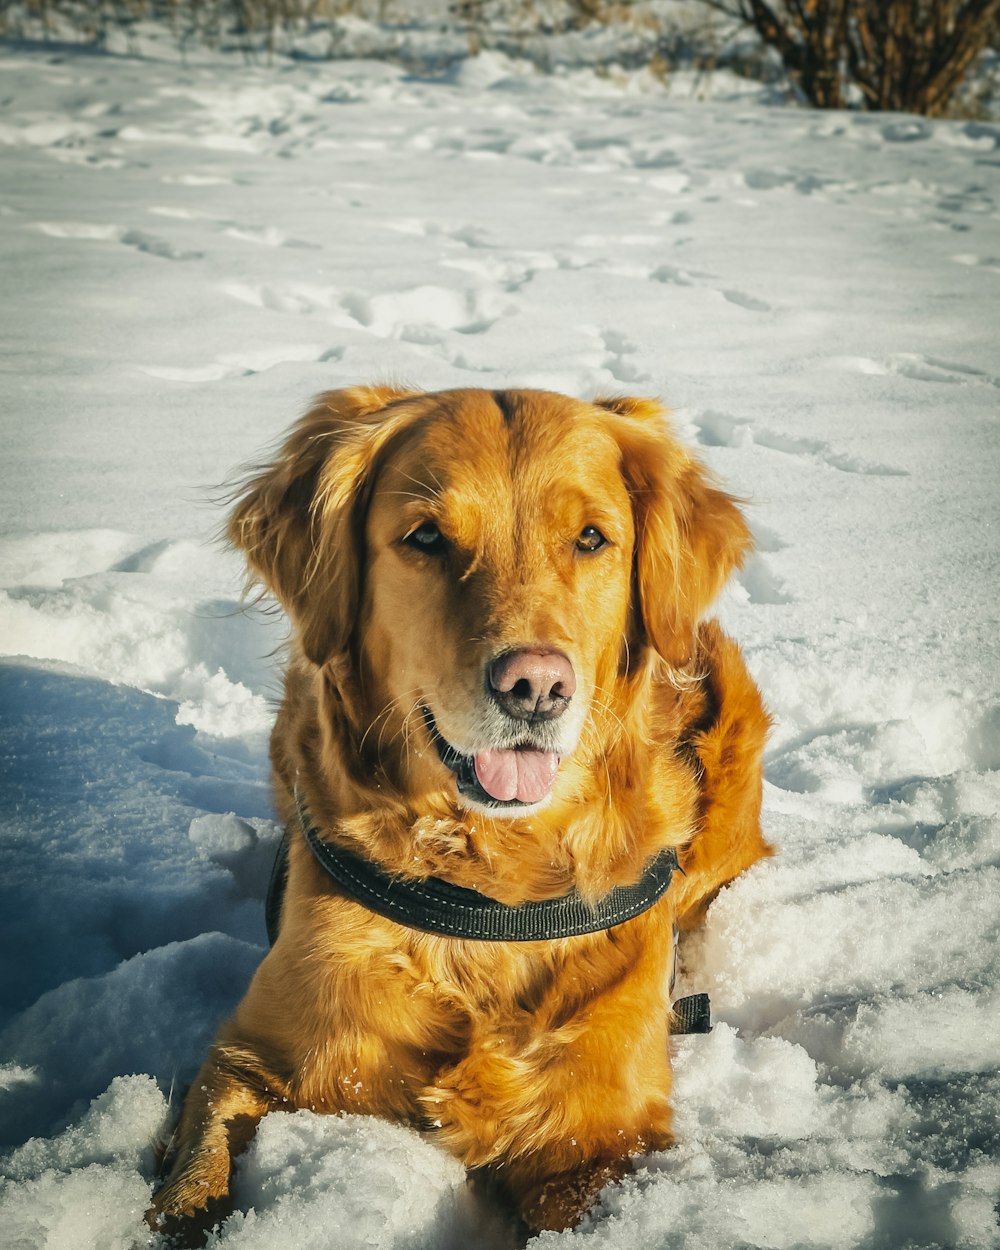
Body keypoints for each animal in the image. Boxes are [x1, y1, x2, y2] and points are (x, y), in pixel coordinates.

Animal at [150, 387, 775, 1240]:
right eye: (426, 538)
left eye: (590, 538)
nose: (536, 686)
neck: (487, 895)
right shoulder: (249, 1057)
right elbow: (195, 1175)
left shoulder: (598, 1133)